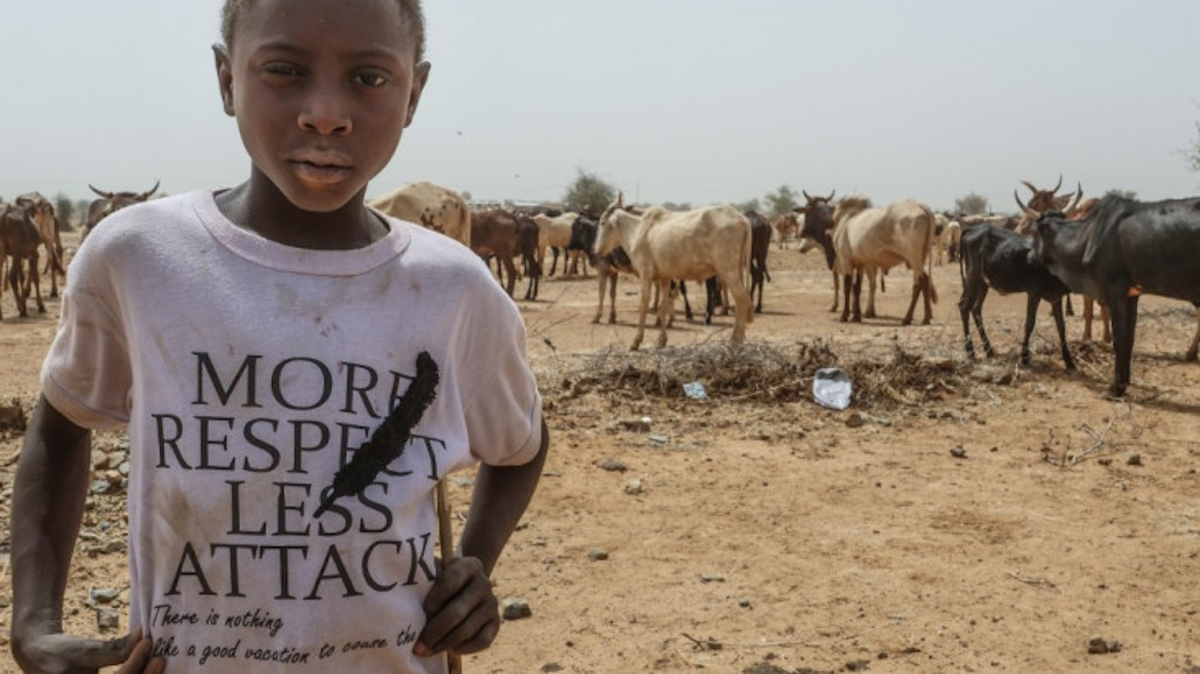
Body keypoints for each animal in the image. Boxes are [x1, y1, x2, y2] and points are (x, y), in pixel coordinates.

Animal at [590, 194, 748, 347]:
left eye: (602, 222)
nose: (596, 250)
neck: (638, 231)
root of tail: (741, 218)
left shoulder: (646, 275)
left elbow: (643, 304)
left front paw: (636, 341)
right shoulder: (665, 278)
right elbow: (663, 306)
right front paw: (662, 340)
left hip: (729, 272)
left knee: (742, 300)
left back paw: (735, 339)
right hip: (738, 270)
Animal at [835, 195, 936, 323]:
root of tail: (920, 206)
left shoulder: (846, 261)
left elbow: (847, 287)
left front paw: (844, 315)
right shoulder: (860, 264)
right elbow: (857, 287)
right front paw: (856, 316)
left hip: (913, 257)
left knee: (920, 282)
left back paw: (908, 318)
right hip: (921, 257)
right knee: (923, 281)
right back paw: (924, 317)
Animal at [960, 223, 1075, 369]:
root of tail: (972, 228)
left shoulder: (1056, 297)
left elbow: (1061, 326)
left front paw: (1069, 360)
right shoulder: (1034, 293)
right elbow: (1029, 323)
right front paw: (1024, 357)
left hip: (983, 284)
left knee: (975, 309)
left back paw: (989, 350)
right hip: (973, 279)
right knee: (964, 308)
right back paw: (970, 351)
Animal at [1027, 193, 1200, 393]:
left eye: (1034, 231)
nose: (1029, 257)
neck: (1089, 235)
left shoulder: (1115, 291)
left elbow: (1119, 339)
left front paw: (1115, 388)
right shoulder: (1133, 295)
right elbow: (1129, 339)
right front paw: (1125, 382)